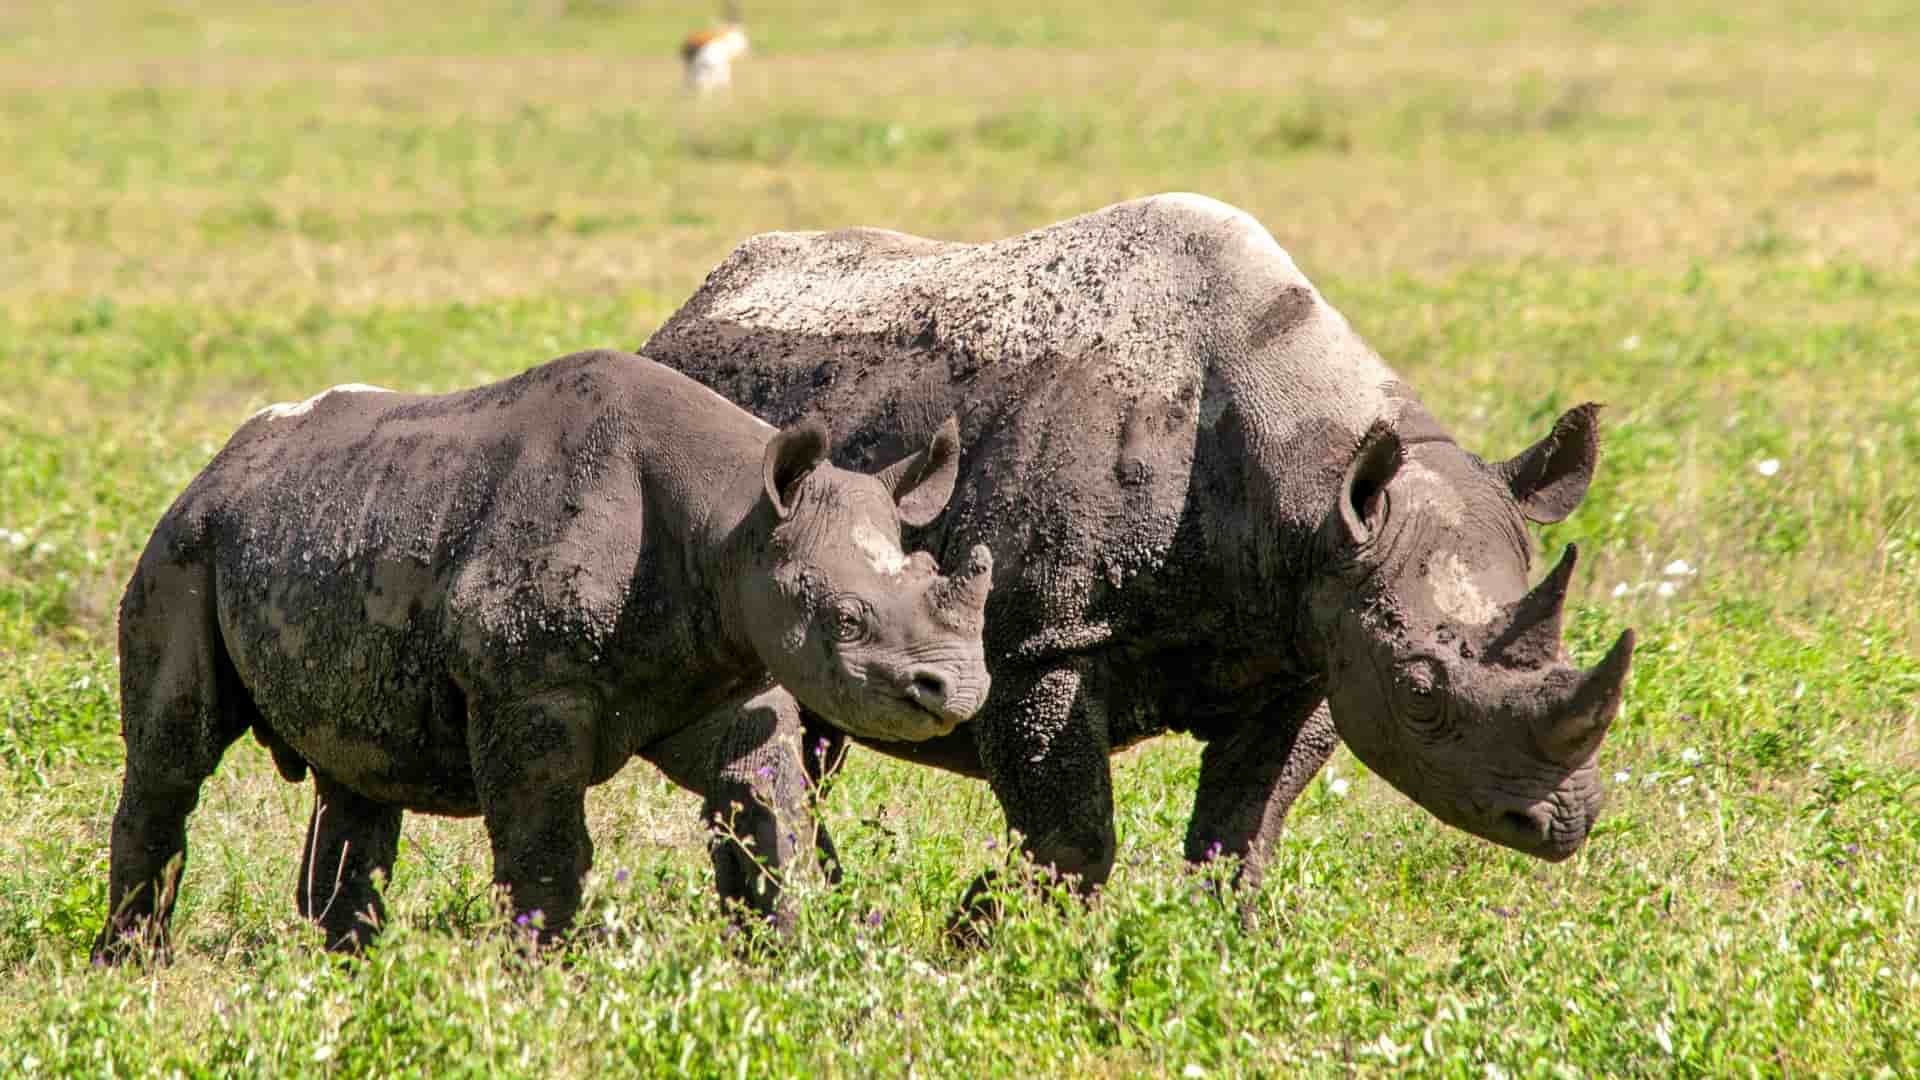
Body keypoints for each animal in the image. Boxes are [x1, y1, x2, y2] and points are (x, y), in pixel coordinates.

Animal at [92, 350, 993, 960]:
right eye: (845, 618)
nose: (956, 688)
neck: (733, 521)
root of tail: (220, 460)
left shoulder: (729, 669)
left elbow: (767, 815)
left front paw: (781, 959)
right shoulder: (529, 690)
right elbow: (547, 847)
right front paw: (544, 975)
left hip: (326, 522)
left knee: (358, 770)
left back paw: (352, 970)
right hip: (184, 544)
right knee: (175, 754)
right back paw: (132, 968)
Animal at [641, 193, 1636, 924]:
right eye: (1424, 695)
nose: (1563, 822)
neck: (1317, 496)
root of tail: (682, 316)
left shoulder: (1309, 637)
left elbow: (1244, 831)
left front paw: (1226, 953)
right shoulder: (1040, 642)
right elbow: (1072, 839)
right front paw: (990, 940)